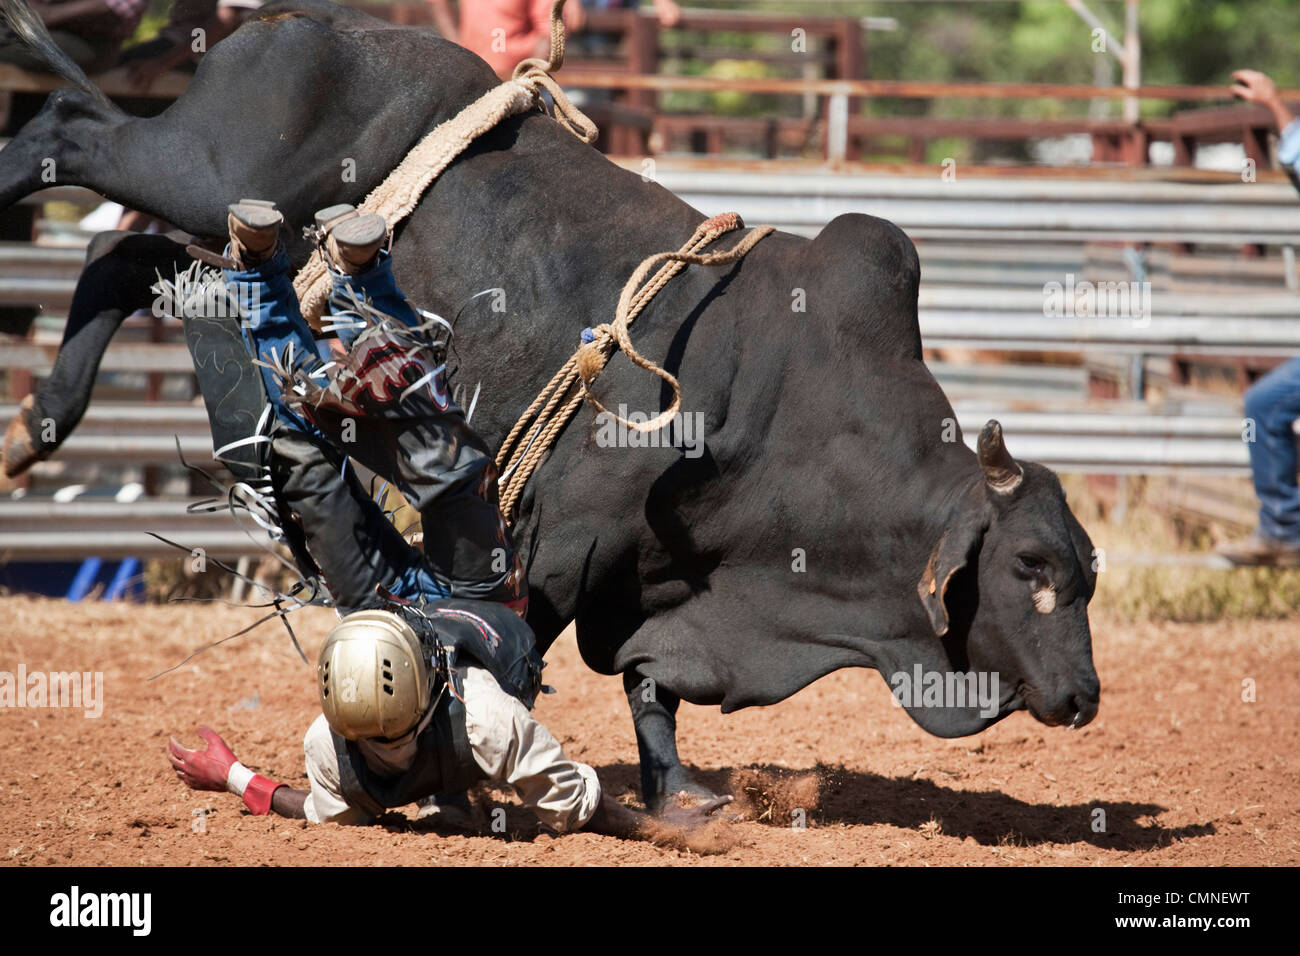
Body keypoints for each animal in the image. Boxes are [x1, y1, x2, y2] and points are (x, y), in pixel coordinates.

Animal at [0, 0, 1097, 806]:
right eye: (1030, 567)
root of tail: (299, 19)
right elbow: (527, 652)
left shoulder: (653, 585)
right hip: (199, 170)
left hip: (215, 224)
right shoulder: (562, 546)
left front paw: (678, 794)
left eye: (1086, 573)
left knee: (131, 257)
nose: (1084, 696)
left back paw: (40, 422)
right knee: (74, 140)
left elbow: (652, 689)